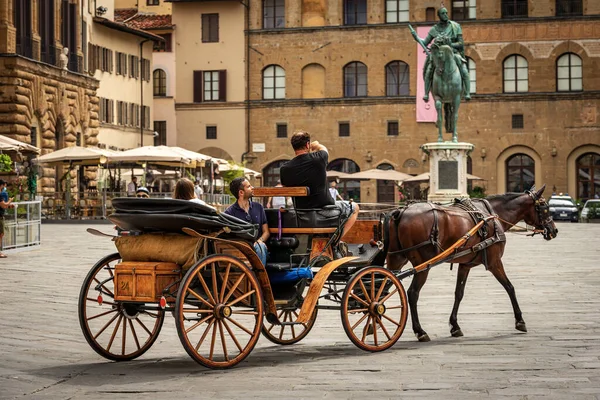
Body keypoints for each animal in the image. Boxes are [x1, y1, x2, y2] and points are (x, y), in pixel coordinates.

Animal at [386, 184, 560, 340]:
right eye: (545, 207)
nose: (554, 230)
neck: (493, 215)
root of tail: (401, 211)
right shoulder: (495, 262)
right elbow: (510, 287)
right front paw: (520, 321)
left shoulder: (465, 264)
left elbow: (459, 293)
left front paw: (454, 326)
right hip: (422, 265)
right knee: (412, 293)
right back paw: (420, 331)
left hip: (396, 259)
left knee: (384, 286)